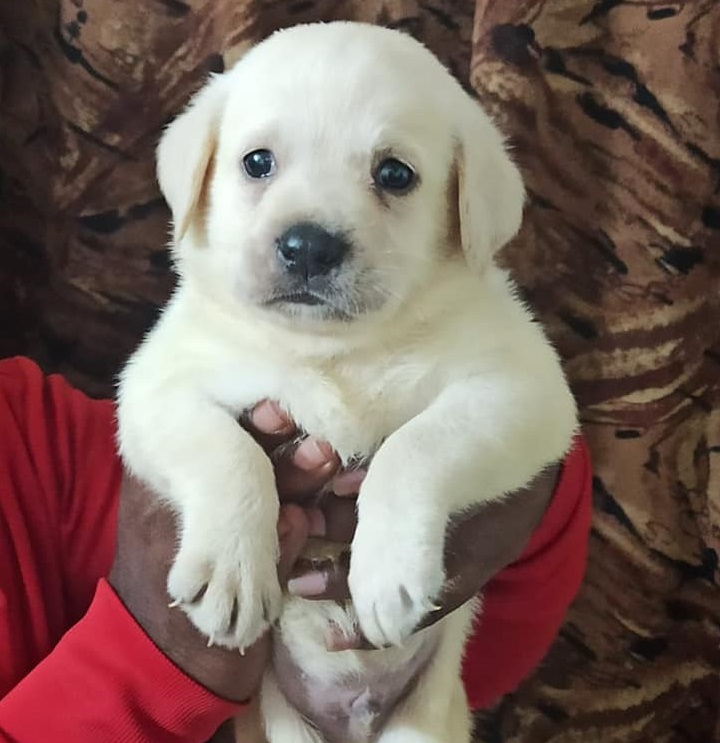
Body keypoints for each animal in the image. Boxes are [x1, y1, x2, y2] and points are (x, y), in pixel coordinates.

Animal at [118, 21, 580, 743]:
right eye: (257, 162)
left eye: (394, 174)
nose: (308, 245)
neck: (334, 350)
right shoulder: (153, 387)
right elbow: (226, 450)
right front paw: (232, 570)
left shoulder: (521, 387)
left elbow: (418, 445)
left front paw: (387, 571)